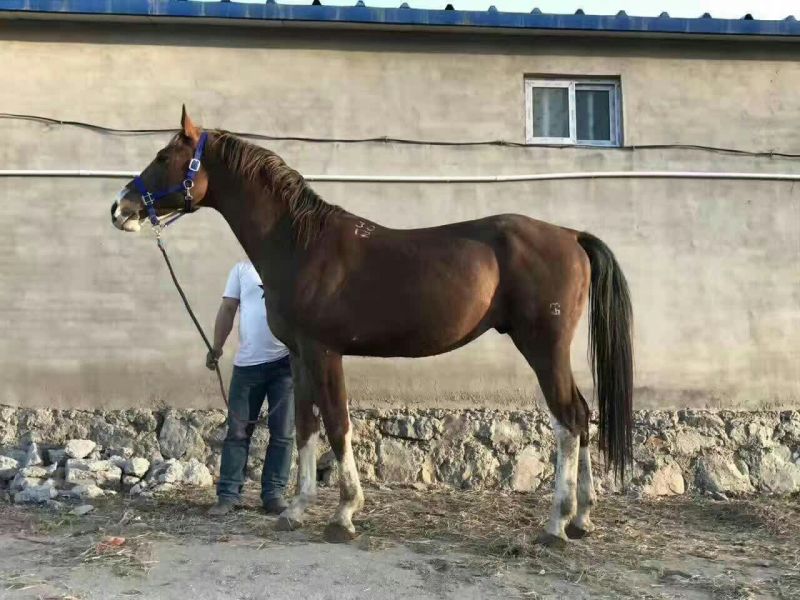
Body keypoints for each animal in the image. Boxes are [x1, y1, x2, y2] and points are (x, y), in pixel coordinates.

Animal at [111, 107, 633, 546]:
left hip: (543, 348)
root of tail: (570, 236)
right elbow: (305, 425)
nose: (119, 209)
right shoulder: (299, 355)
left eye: (163, 156)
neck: (301, 245)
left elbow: (337, 424)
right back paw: (582, 518)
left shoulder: (325, 352)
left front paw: (343, 515)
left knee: (567, 419)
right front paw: (296, 509)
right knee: (582, 414)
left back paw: (555, 523)